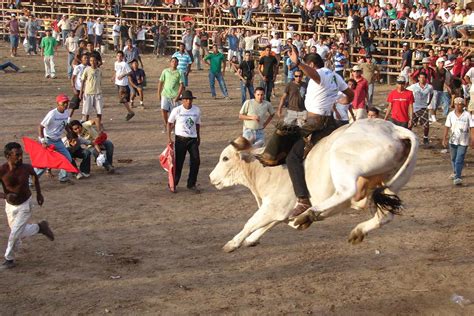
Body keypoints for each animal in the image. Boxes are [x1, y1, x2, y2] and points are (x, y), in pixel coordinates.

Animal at [209, 118, 416, 252]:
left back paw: (310, 213)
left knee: (347, 190)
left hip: (341, 158)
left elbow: (251, 223)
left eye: (225, 158)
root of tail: (393, 129)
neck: (265, 169)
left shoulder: (274, 207)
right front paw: (250, 240)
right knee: (384, 215)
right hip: (388, 184)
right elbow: (265, 226)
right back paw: (357, 231)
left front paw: (232, 243)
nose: (211, 177)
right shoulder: (278, 211)